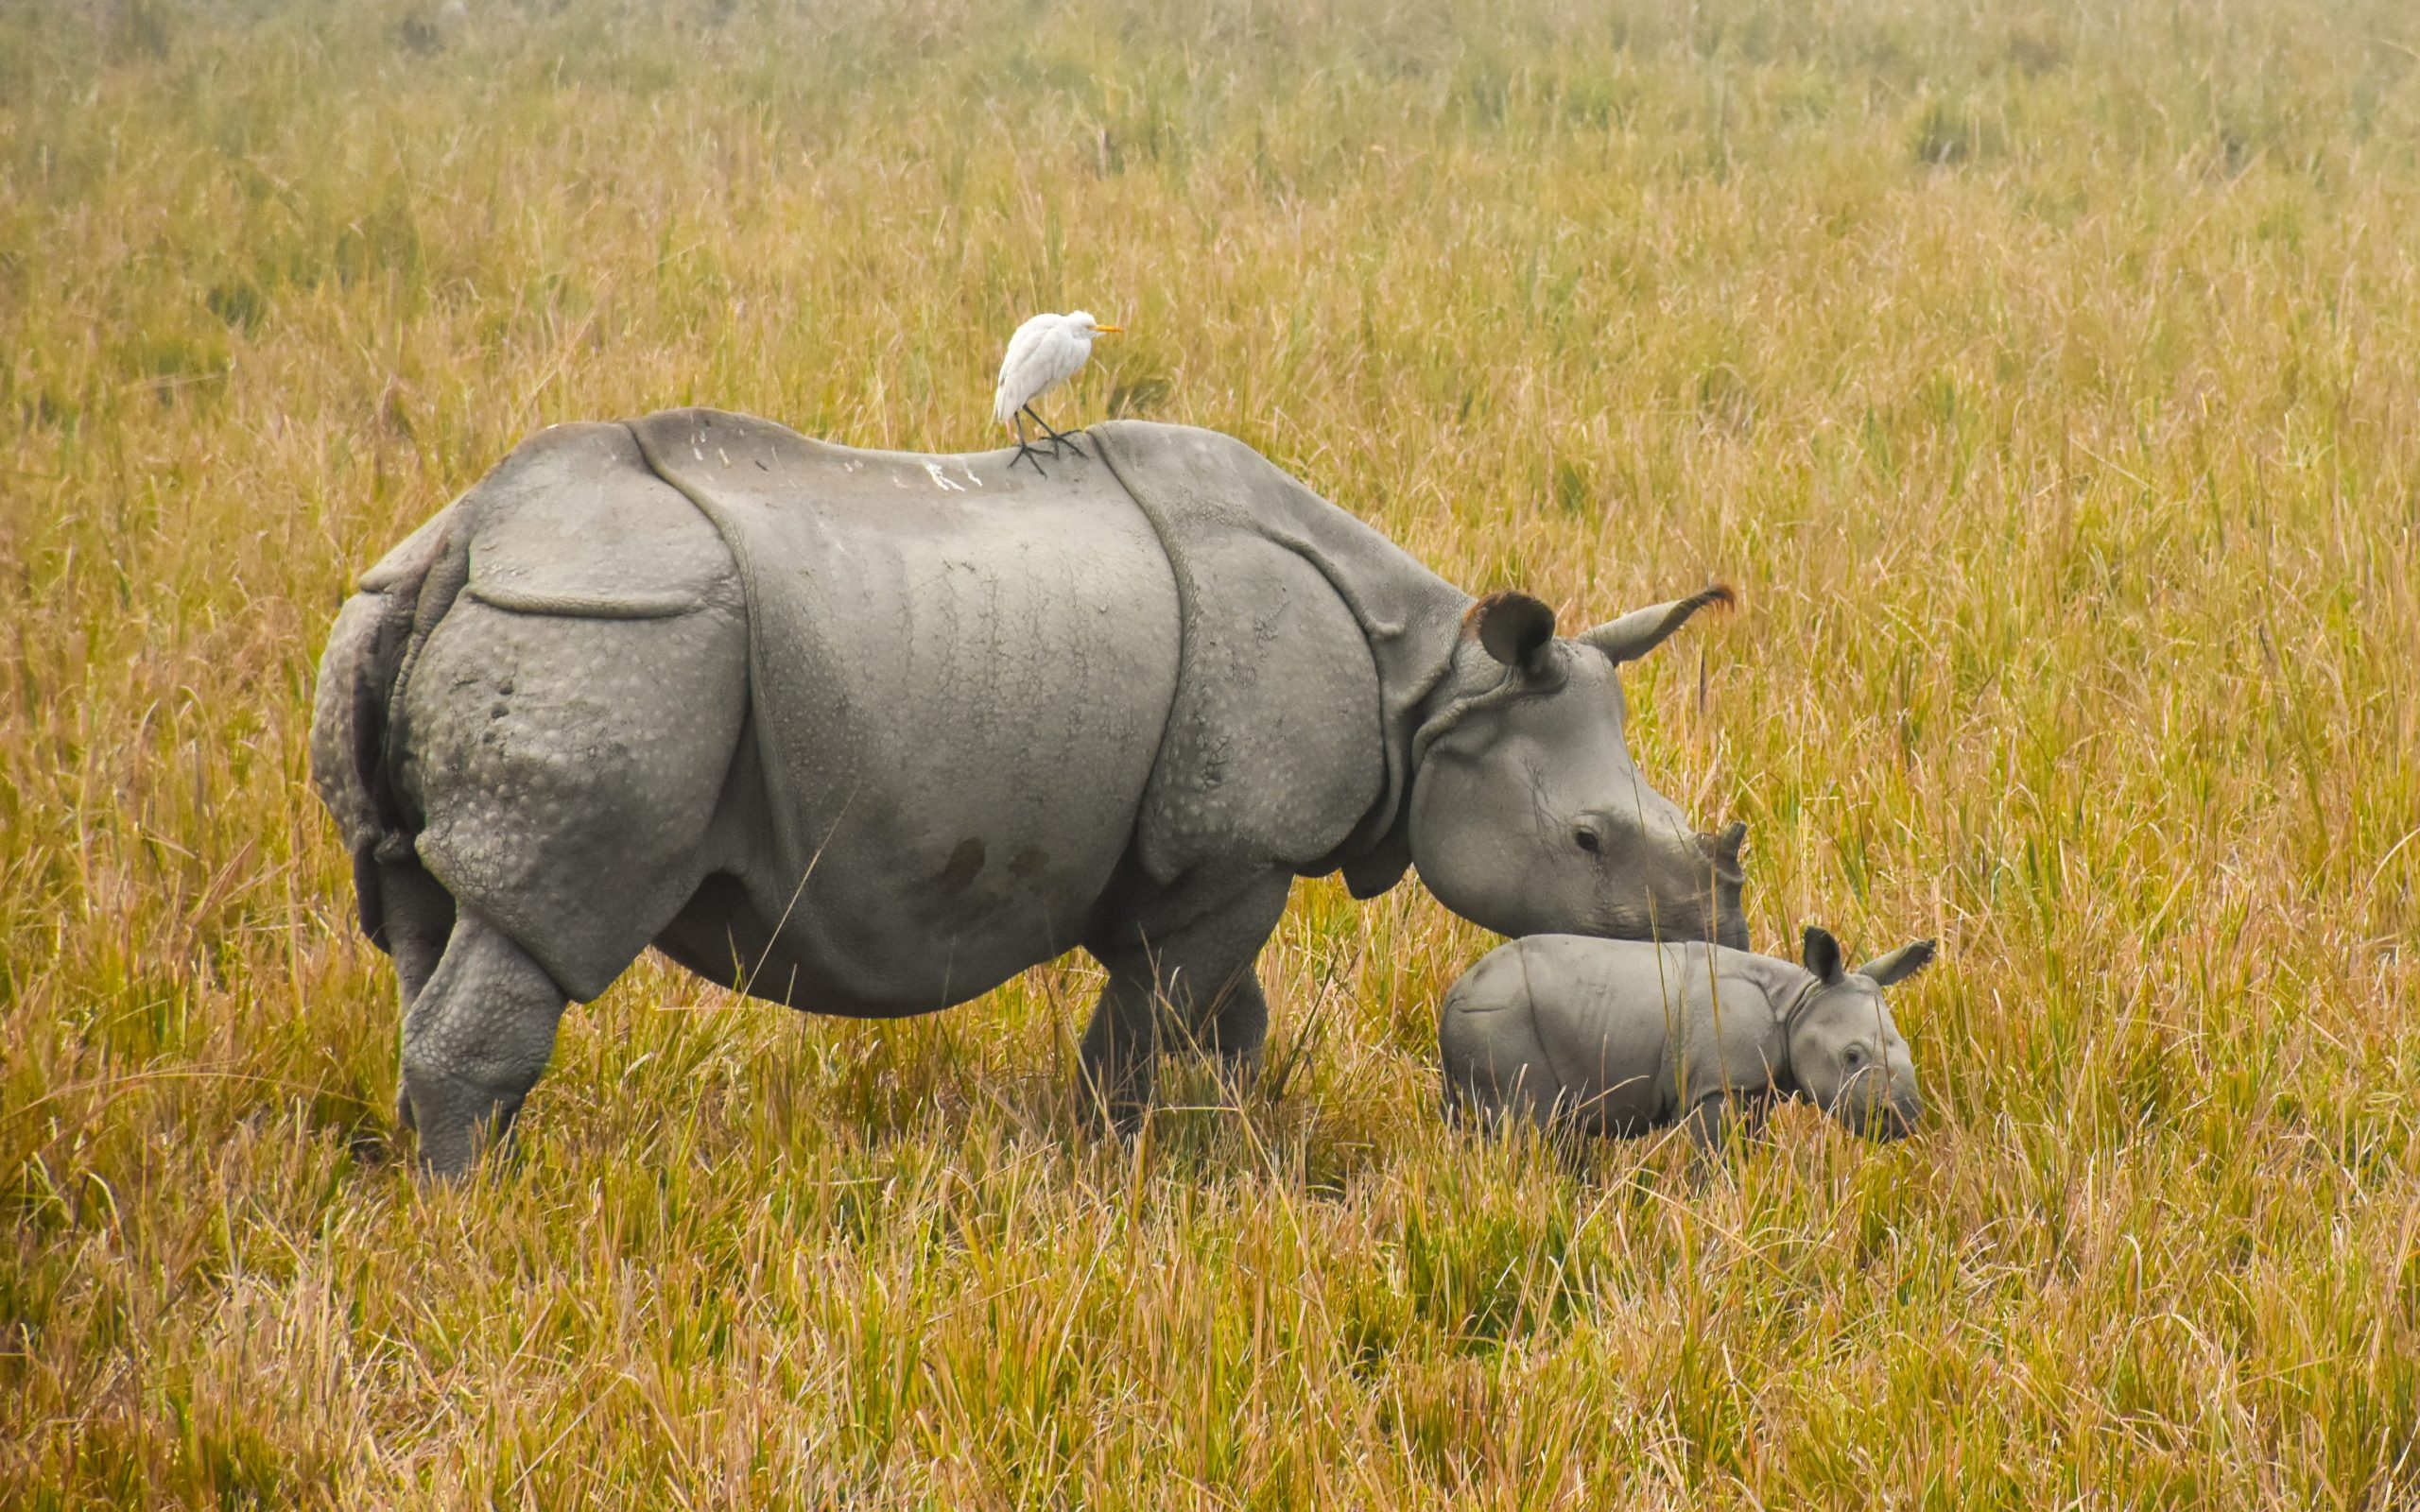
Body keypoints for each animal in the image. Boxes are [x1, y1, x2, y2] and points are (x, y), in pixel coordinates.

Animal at [321, 406, 1752, 1176]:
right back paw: (480, 1217)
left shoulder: (1199, 856)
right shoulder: (1234, 851)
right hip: (619, 639)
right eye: (1588, 840)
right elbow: (1156, 1021)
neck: (1431, 686)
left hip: (442, 612)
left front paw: (1224, 1145)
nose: (1718, 936)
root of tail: (464, 537)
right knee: (542, 923)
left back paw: (461, 1178)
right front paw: (1117, 1168)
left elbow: (1225, 1017)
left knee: (429, 919)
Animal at [1432, 919, 1926, 1142]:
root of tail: (1453, 993)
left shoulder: (1753, 1086)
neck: (1798, 1003)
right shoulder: (1715, 1086)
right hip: (1497, 1018)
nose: (1905, 1118)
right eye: (1852, 1057)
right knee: (1526, 1126)